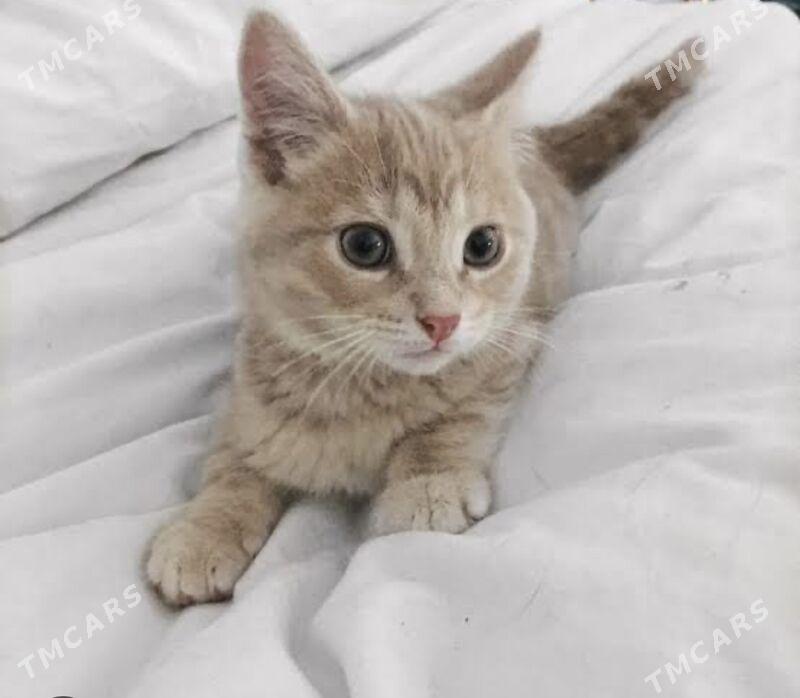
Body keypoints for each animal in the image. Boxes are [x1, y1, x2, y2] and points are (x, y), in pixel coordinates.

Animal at [146, 10, 703, 606]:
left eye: (482, 246)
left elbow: (456, 414)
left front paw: (428, 482)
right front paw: (205, 527)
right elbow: (234, 456)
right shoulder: (247, 376)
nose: (443, 321)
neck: (359, 388)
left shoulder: (511, 339)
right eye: (365, 245)